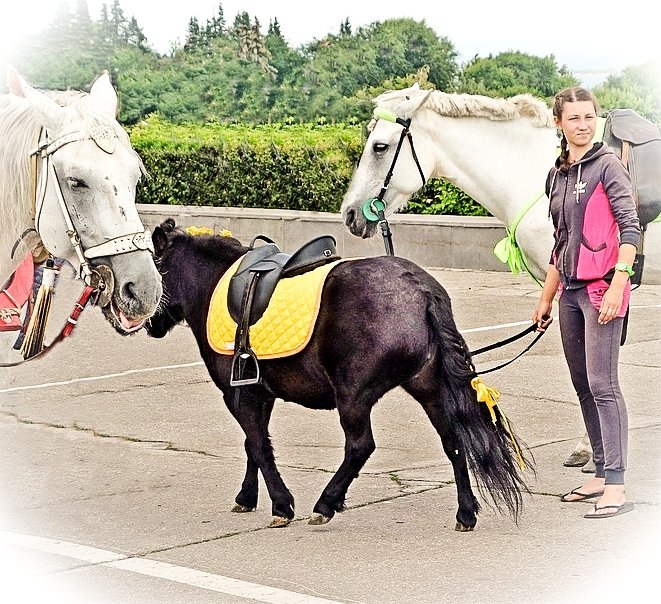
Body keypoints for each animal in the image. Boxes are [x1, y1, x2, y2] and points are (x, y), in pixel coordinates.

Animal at [146, 219, 532, 532]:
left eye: (152, 268)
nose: (148, 322)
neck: (219, 283)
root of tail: (421, 290)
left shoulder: (239, 394)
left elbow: (257, 444)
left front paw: (281, 505)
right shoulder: (258, 393)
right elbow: (253, 443)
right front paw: (247, 496)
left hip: (353, 394)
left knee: (361, 446)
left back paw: (326, 504)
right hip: (429, 388)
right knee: (452, 440)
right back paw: (465, 512)